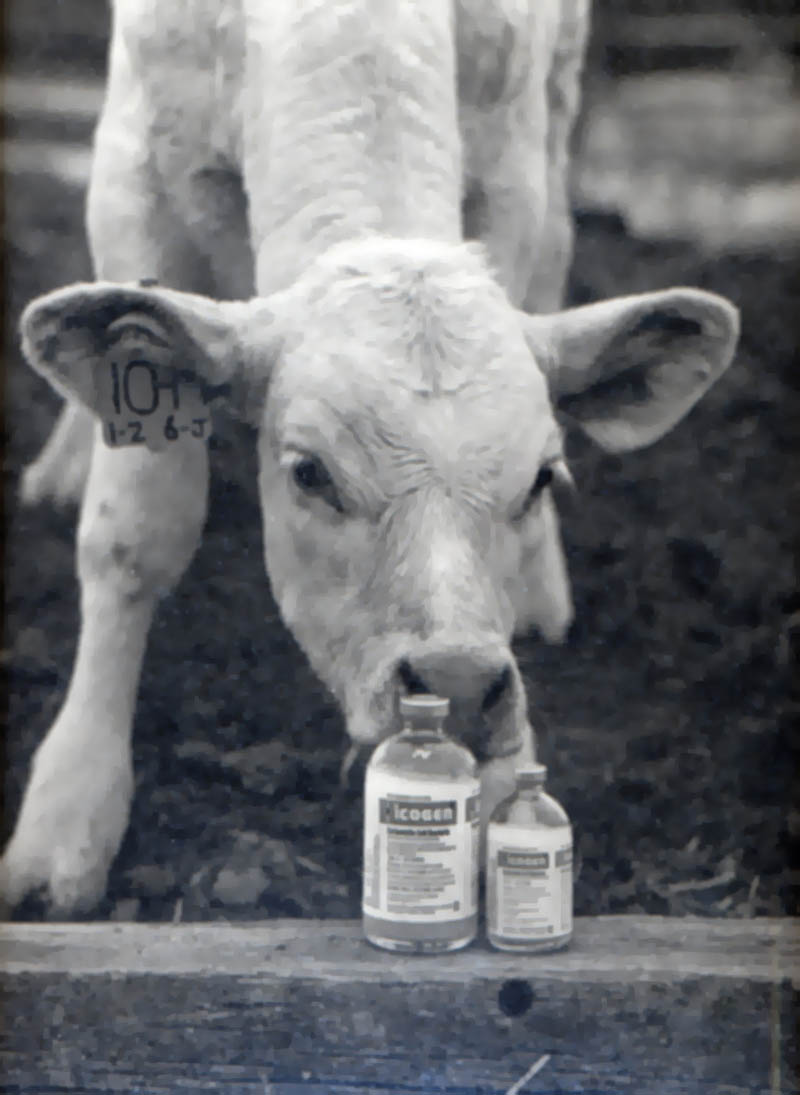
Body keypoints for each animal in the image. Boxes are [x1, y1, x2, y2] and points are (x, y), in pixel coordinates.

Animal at [1, 0, 739, 911]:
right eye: (310, 473)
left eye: (541, 476)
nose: (458, 684)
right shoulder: (133, 164)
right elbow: (134, 530)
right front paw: (70, 811)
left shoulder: (512, 167)